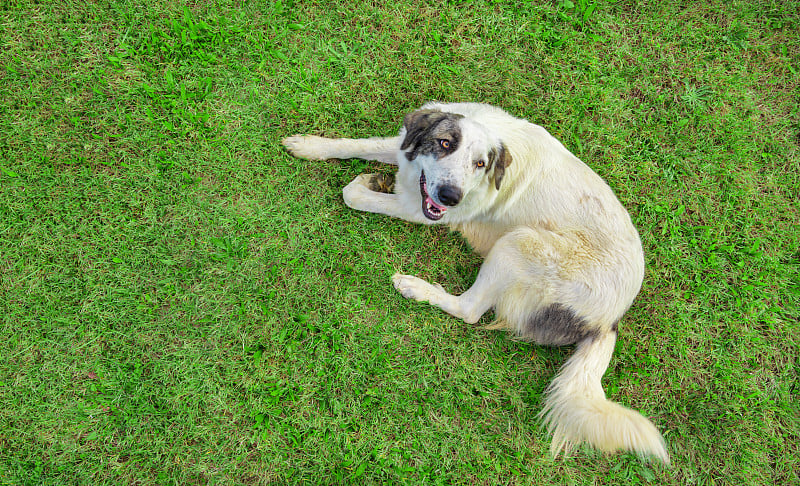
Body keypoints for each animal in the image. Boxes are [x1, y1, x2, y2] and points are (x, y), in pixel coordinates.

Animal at [282, 101, 668, 464]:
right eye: (444, 143)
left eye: (480, 164)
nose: (450, 196)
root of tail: (609, 322)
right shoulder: (404, 147)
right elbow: (361, 144)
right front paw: (310, 145)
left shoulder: (417, 210)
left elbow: (353, 195)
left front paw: (363, 183)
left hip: (520, 242)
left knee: (469, 309)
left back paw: (415, 286)